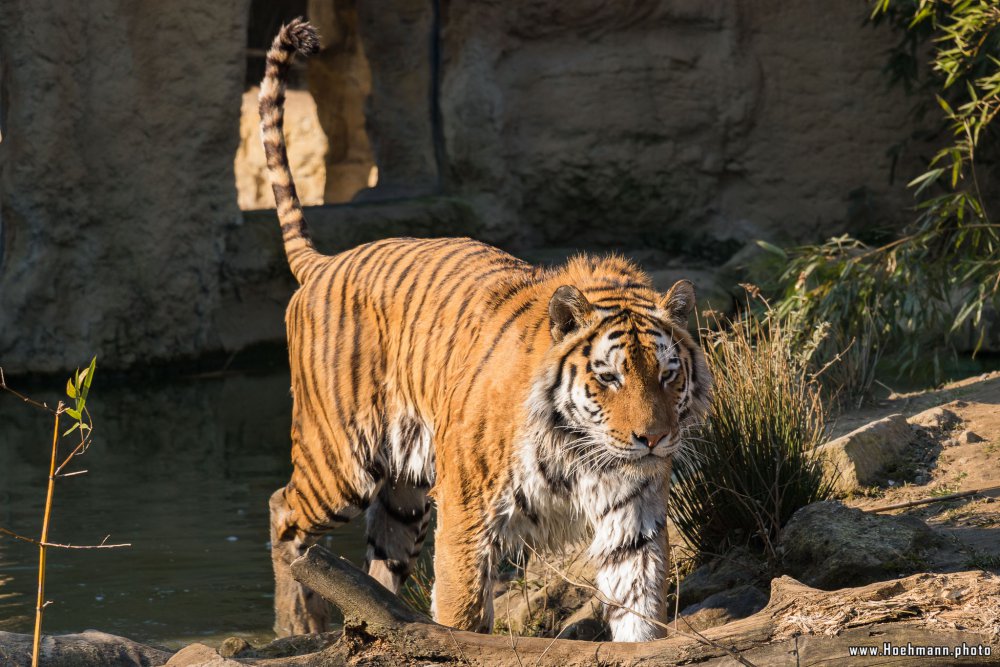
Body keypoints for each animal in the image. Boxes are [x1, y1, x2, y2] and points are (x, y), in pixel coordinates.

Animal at [258, 18, 712, 644]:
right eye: (610, 379)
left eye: (668, 376)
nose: (653, 439)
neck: (584, 453)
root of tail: (322, 263)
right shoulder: (469, 508)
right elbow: (462, 609)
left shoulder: (632, 512)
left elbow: (637, 601)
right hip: (341, 458)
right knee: (284, 511)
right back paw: (296, 623)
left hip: (403, 492)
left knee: (380, 559)